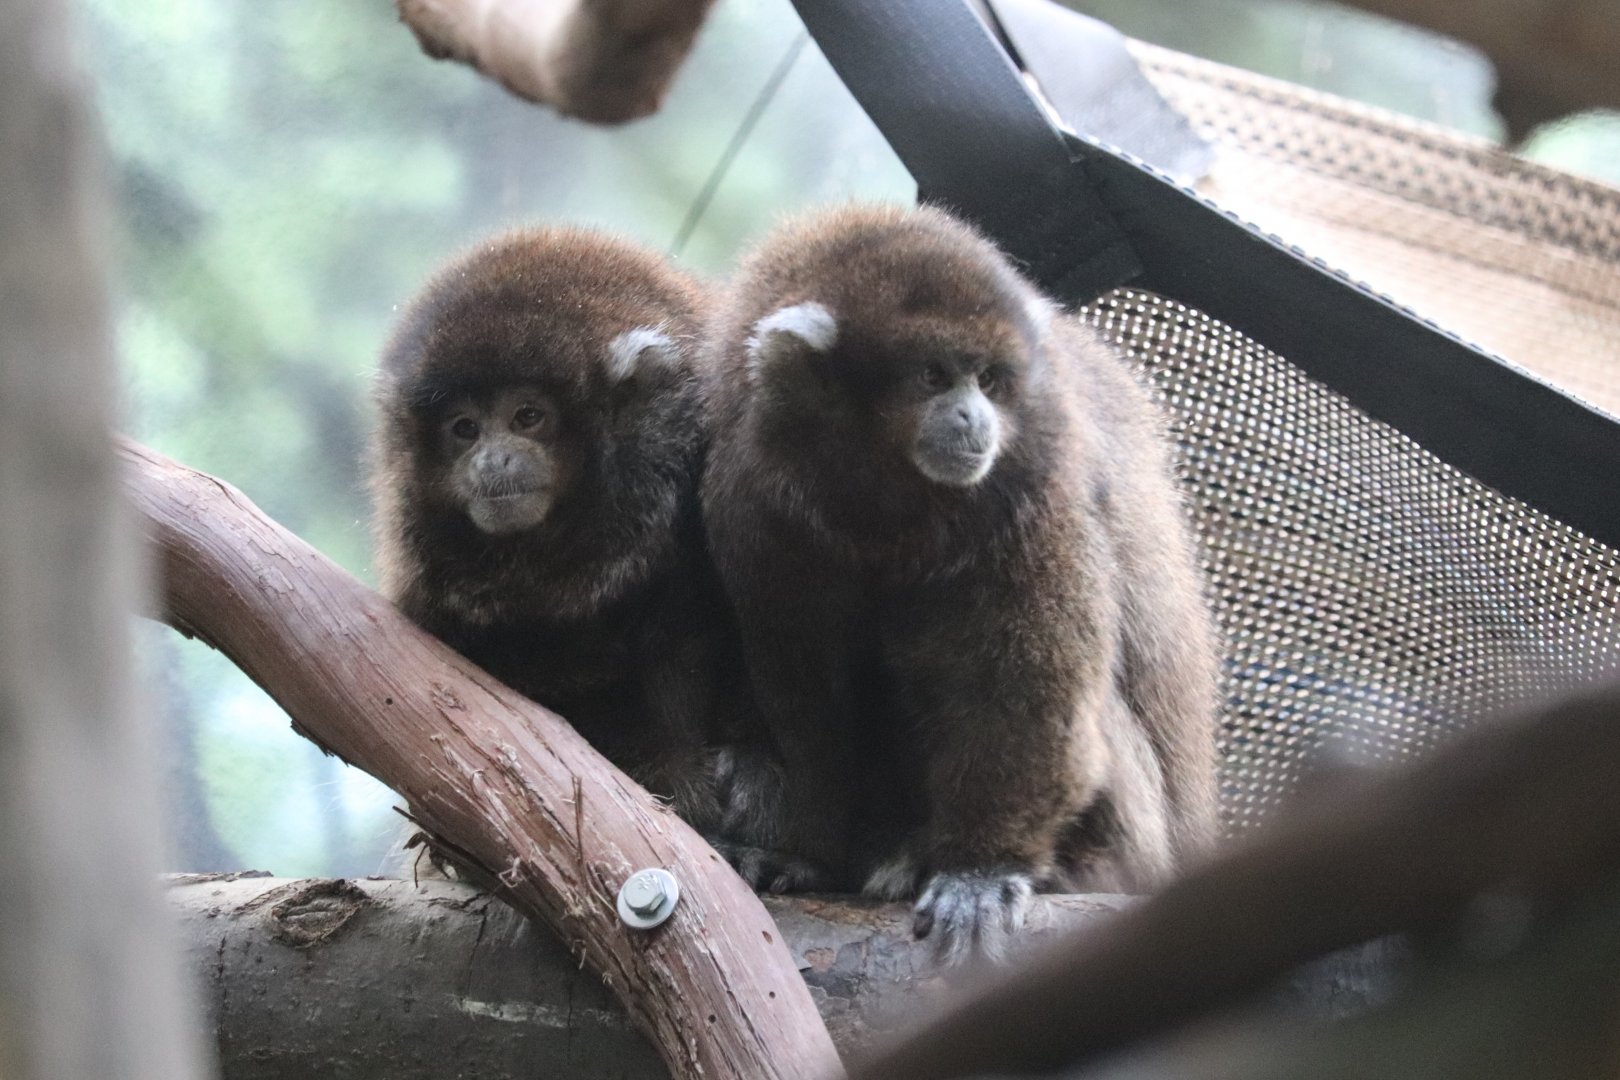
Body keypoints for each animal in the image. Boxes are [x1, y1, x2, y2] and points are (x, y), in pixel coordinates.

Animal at [699, 203, 1219, 963]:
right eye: (933, 375)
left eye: (991, 381)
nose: (976, 417)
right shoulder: (754, 495)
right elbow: (804, 693)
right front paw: (806, 853)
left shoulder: (1033, 477)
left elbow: (1020, 684)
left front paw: (982, 870)